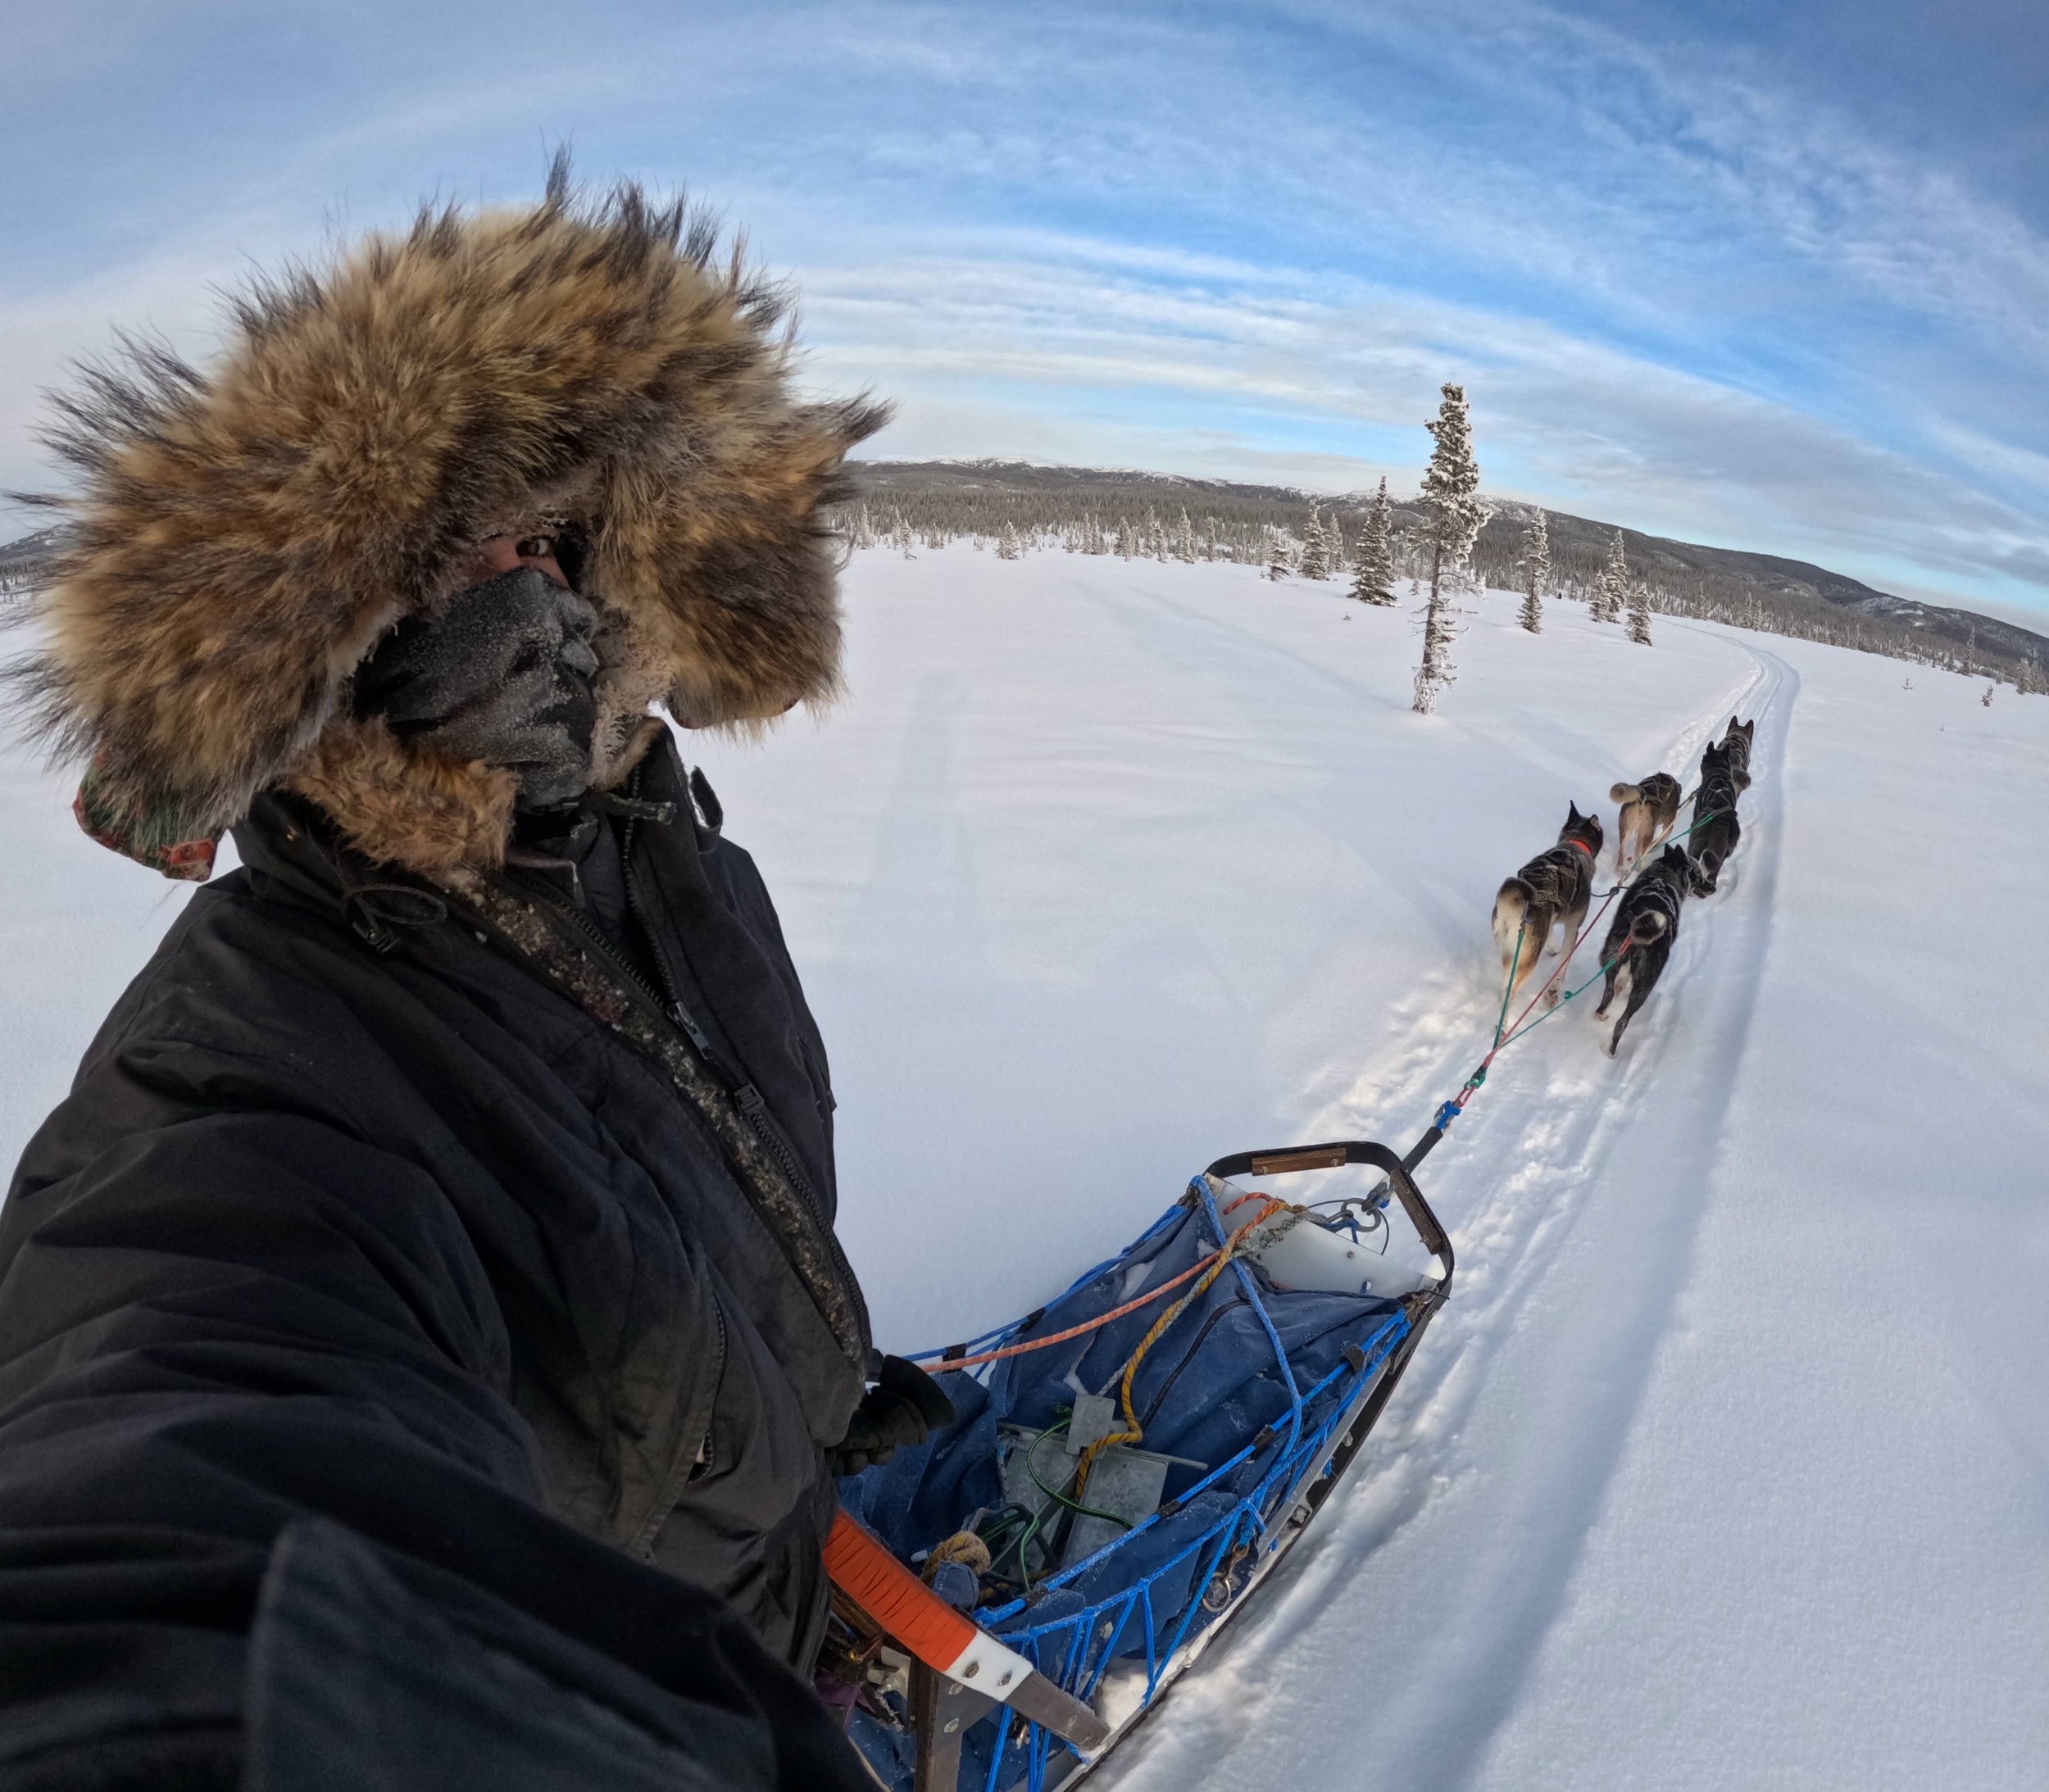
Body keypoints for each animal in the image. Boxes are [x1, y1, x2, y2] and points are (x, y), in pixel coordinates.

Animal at [1500, 802, 1606, 1003]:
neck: (1576, 843)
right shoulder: (1573, 928)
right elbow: (1563, 963)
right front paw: (1554, 989)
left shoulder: (1552, 918)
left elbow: (1551, 937)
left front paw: (1552, 948)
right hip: (1527, 960)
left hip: (1511, 954)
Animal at [1590, 847, 1688, 1056]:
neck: (1664, 874)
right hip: (1644, 987)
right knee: (1622, 1022)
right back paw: (1612, 1052)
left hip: (1610, 958)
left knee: (1608, 993)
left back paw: (1602, 1012)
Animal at [1615, 769, 1680, 876]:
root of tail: (1642, 795)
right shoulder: (1669, 824)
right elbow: (1663, 837)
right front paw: (1654, 845)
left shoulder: (1640, 831)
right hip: (1649, 833)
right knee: (1641, 854)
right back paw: (1639, 869)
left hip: (1626, 829)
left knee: (1623, 850)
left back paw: (1620, 869)